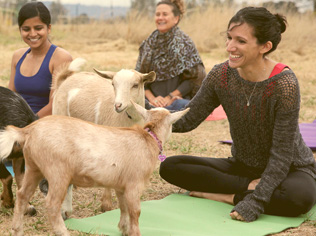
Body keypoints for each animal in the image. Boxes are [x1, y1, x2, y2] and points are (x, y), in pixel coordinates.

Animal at [0, 102, 188, 235]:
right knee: (52, 203)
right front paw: (134, 232)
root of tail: (28, 130)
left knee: (22, 195)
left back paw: (17, 230)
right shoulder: (135, 183)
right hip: (57, 171)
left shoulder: (121, 185)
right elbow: (135, 211)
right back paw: (63, 232)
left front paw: (123, 228)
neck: (148, 138)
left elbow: (123, 206)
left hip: (33, 167)